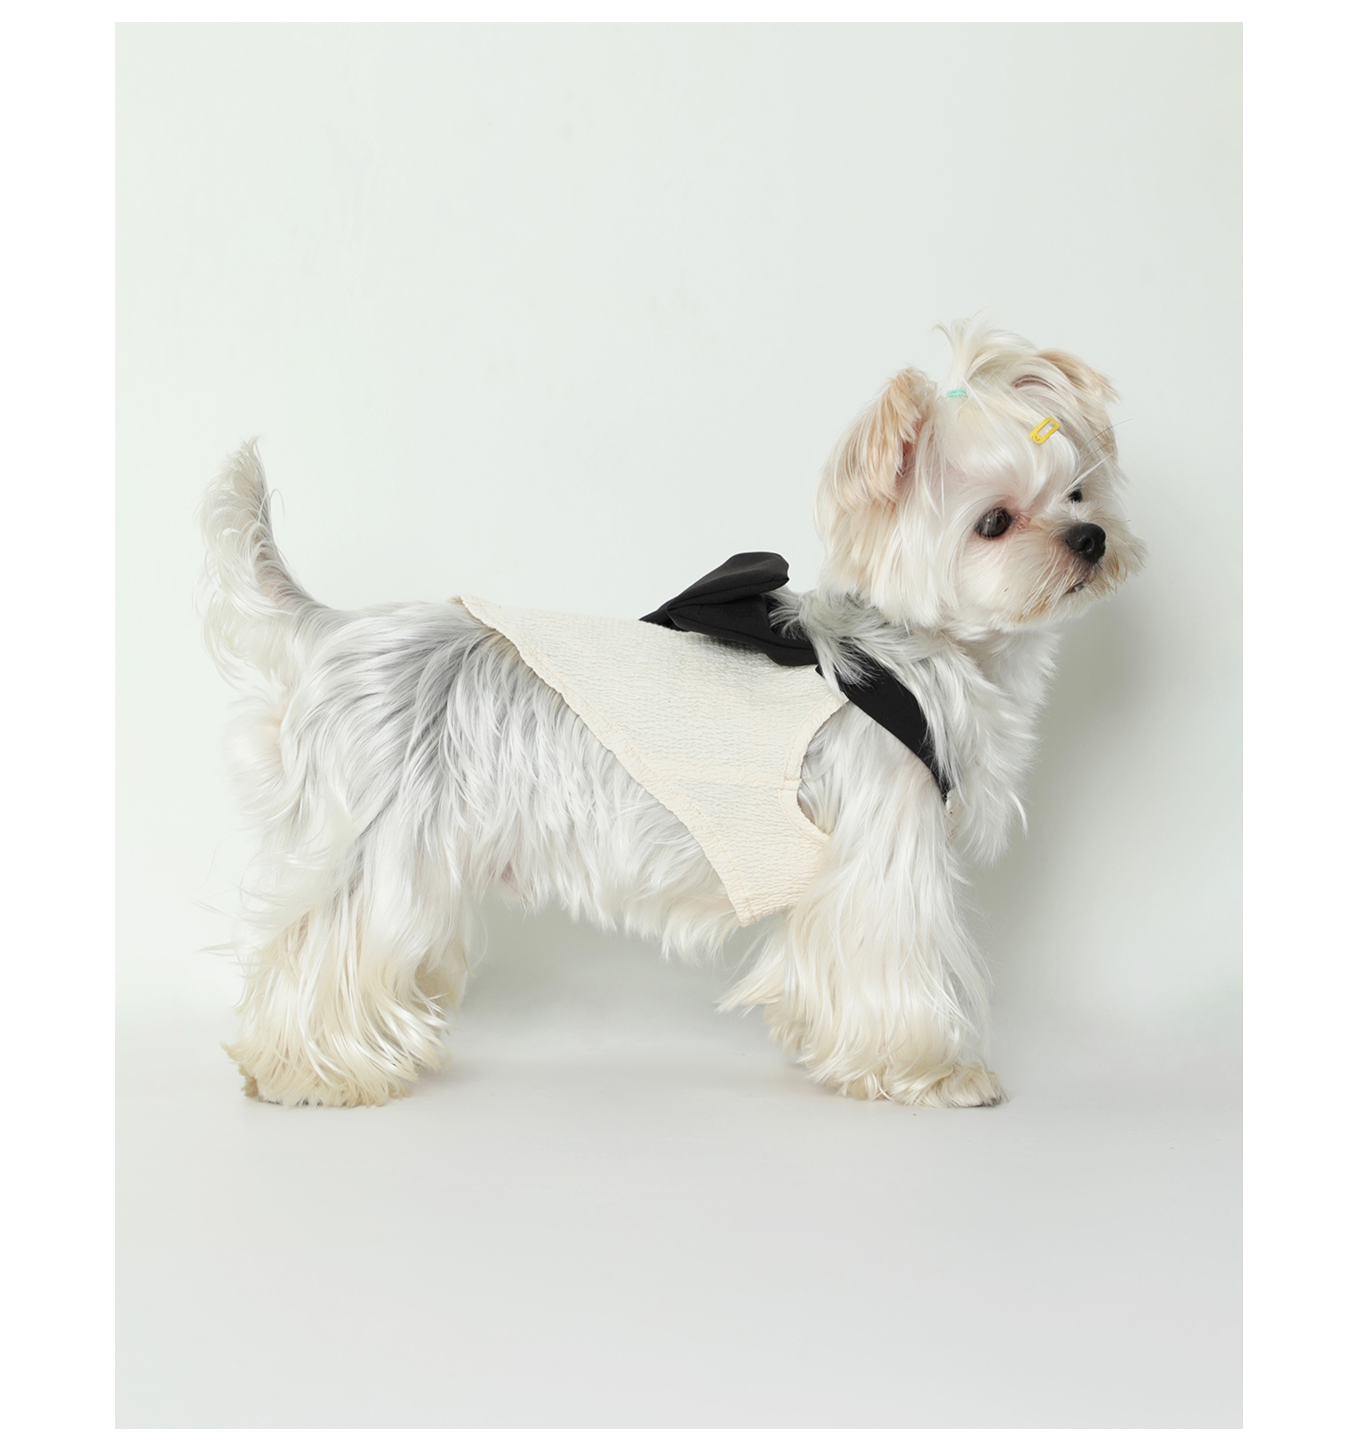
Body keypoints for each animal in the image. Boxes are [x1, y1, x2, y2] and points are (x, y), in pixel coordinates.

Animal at [200, 320, 1143, 1108]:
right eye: (993, 522)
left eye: (1078, 493)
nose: (1090, 539)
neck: (913, 649)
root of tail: (336, 629)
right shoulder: (882, 851)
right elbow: (893, 963)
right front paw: (933, 1072)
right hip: (378, 847)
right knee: (322, 947)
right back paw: (306, 1069)